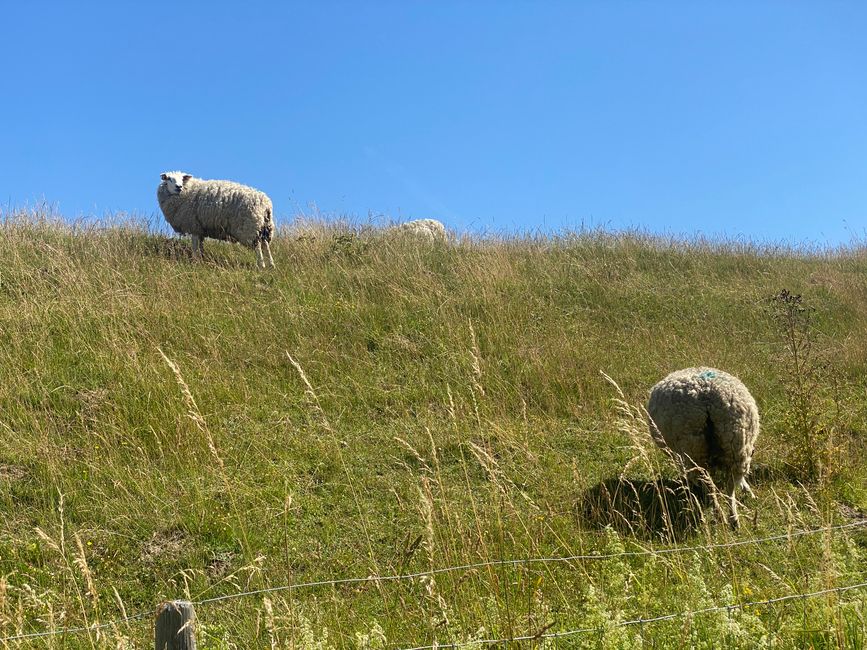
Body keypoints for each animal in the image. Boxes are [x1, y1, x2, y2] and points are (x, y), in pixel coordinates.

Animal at [647, 367, 759, 529]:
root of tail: (707, 395)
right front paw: (747, 490)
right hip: (736, 443)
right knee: (730, 485)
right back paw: (733, 518)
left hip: (693, 447)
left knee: (708, 483)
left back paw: (719, 513)